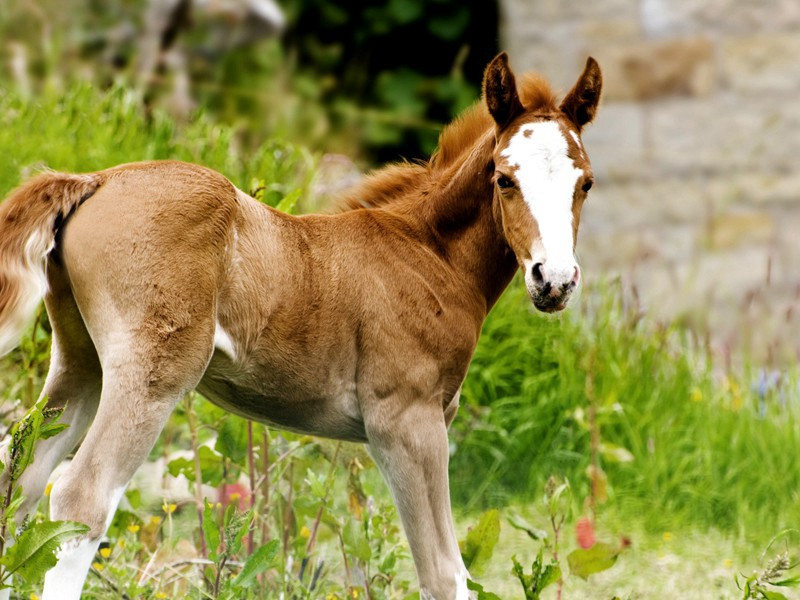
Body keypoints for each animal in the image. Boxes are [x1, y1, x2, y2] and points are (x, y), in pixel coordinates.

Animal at [0, 52, 600, 600]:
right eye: (504, 178)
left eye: (586, 183)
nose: (554, 280)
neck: (428, 253)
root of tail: (95, 180)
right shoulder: (407, 422)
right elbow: (444, 574)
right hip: (152, 374)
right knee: (80, 497)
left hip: (82, 363)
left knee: (21, 478)